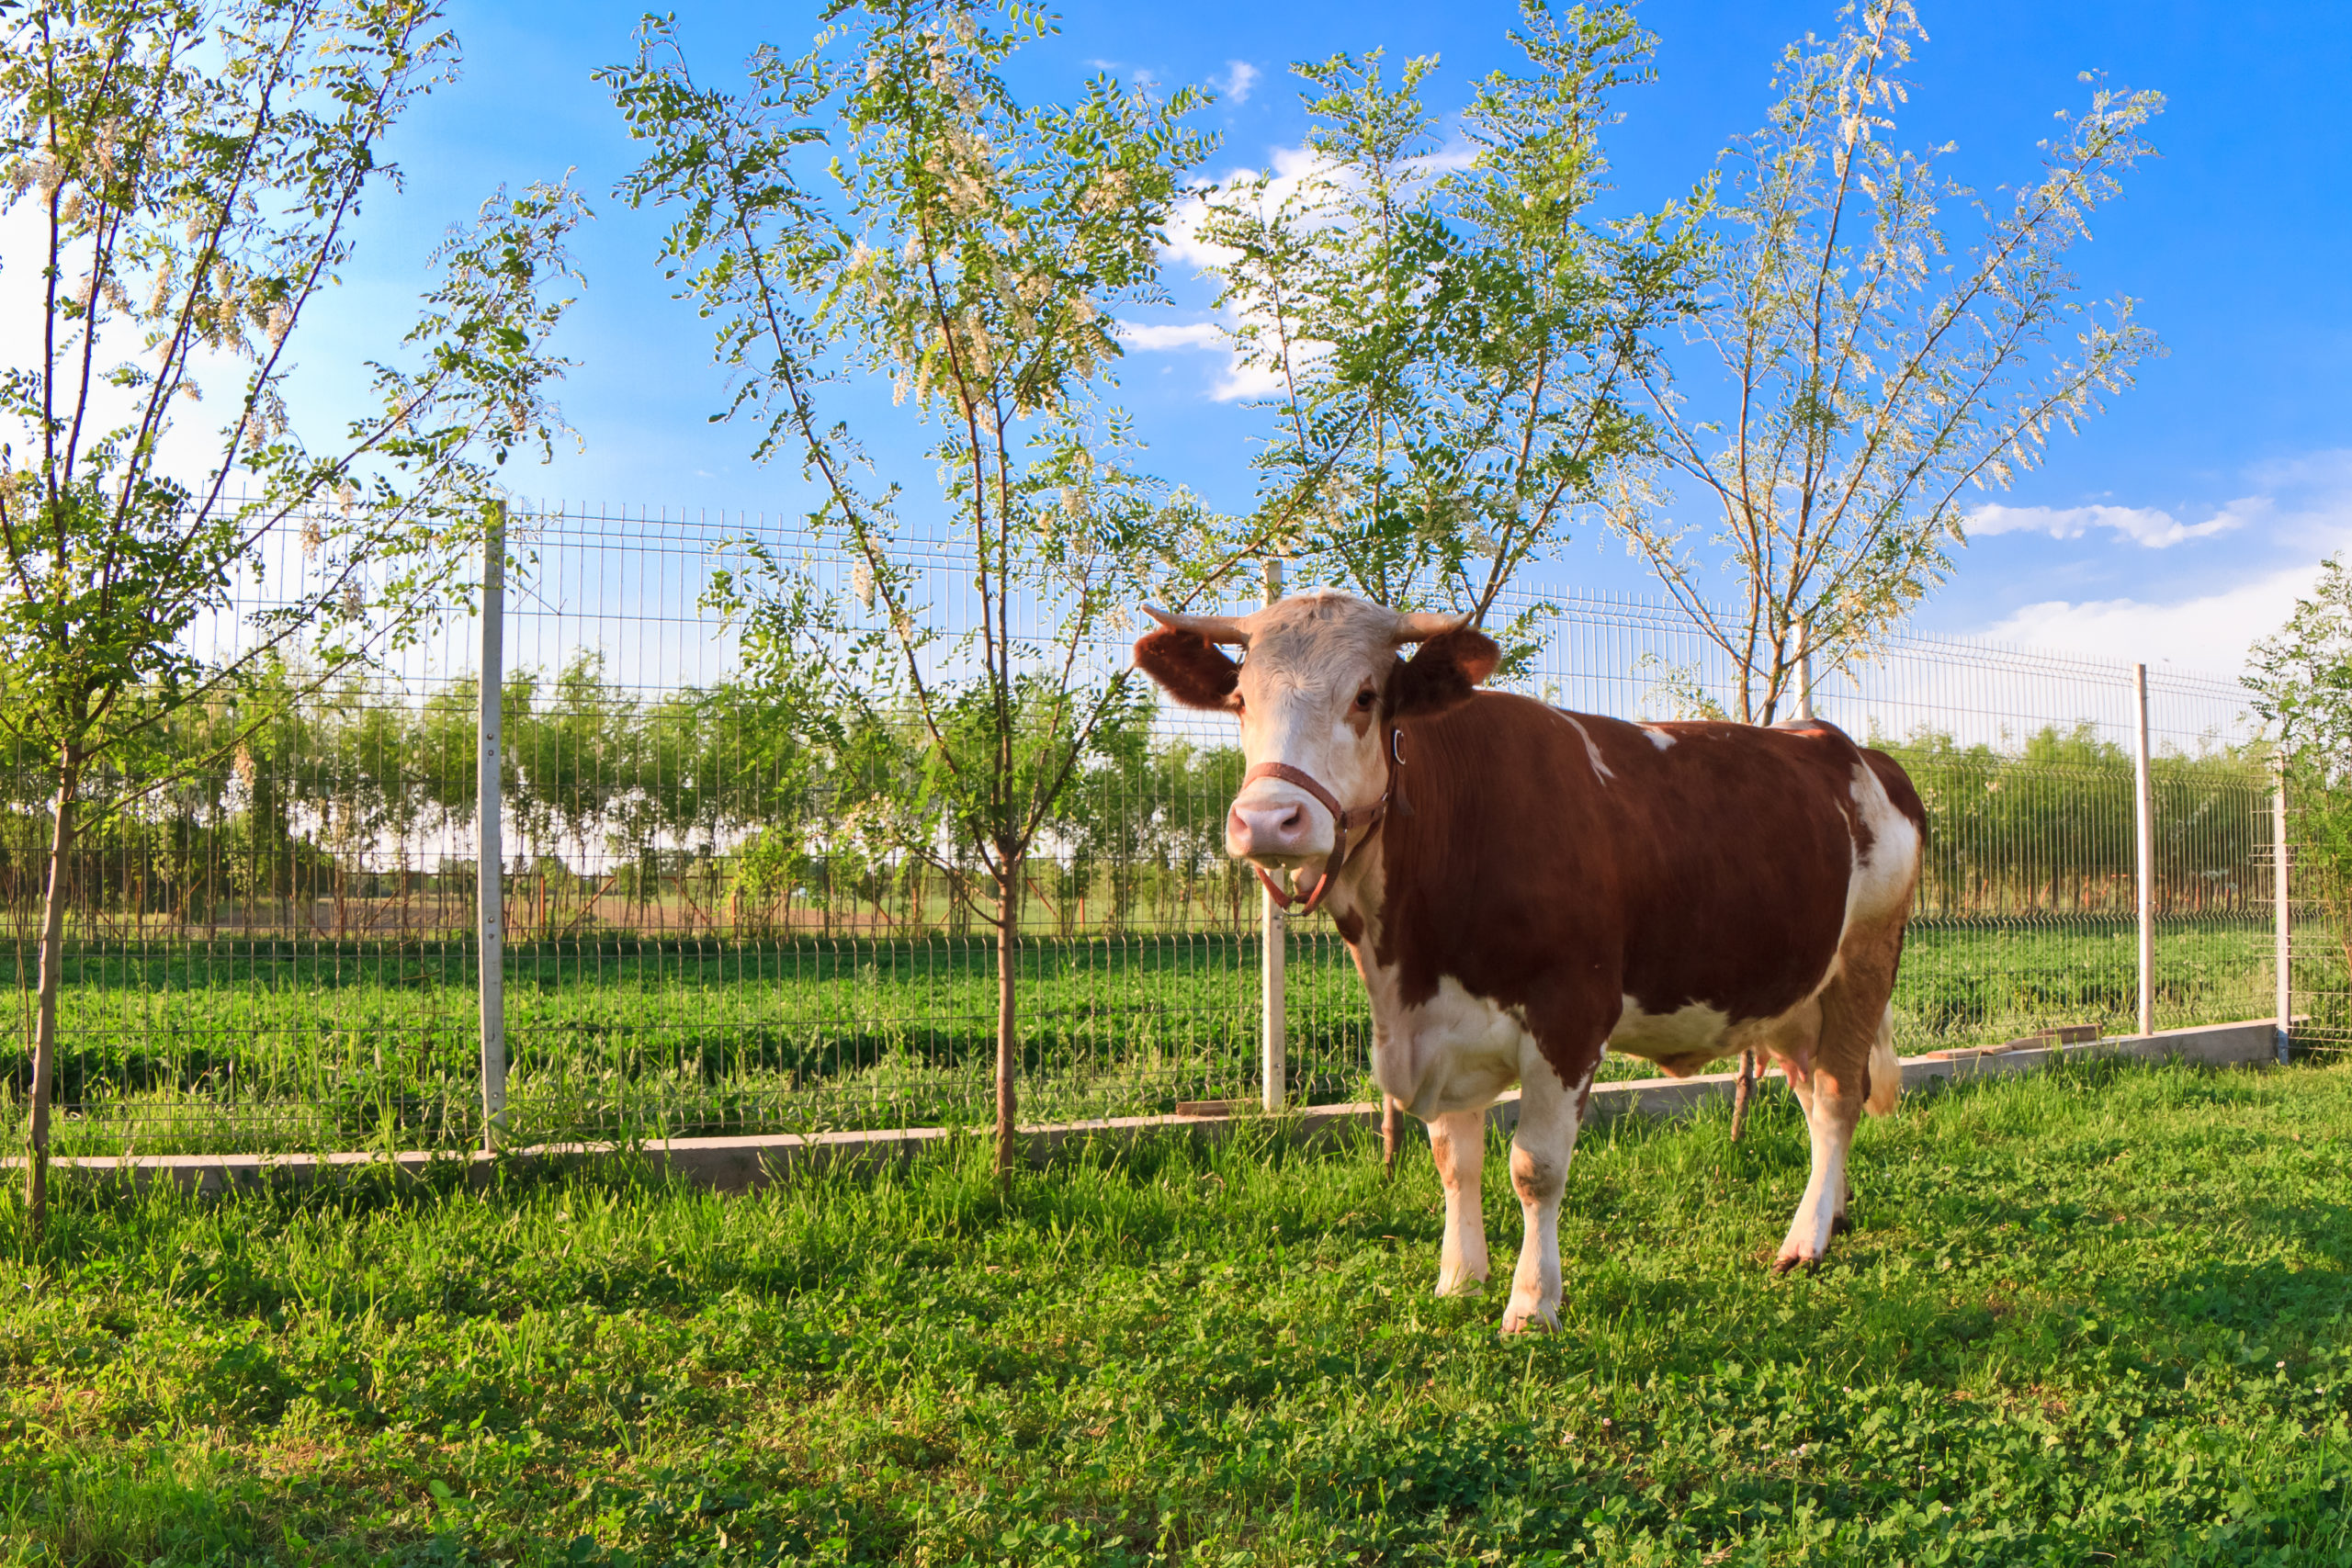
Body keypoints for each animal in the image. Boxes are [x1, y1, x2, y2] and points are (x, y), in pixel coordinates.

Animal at [1134, 590, 1925, 1334]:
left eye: (1364, 696)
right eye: (1241, 699)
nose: (1268, 819)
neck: (1408, 960)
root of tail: (1852, 748)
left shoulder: (1570, 1015)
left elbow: (1534, 1167)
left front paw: (1532, 1302)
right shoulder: (1439, 1026)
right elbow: (1456, 1160)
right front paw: (1459, 1279)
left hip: (1866, 958)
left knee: (1838, 1096)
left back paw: (1806, 1240)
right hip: (1792, 990)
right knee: (1812, 1090)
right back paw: (1833, 1210)